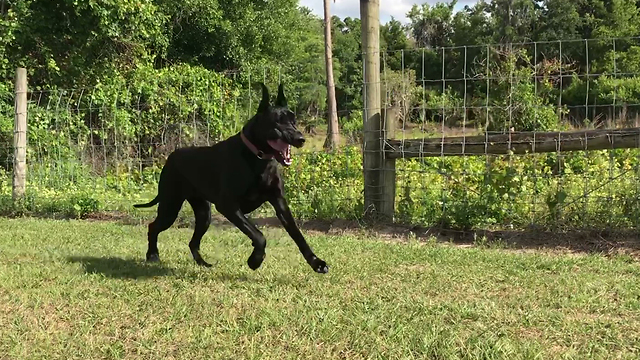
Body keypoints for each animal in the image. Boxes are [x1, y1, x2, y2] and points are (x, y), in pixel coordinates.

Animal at [132, 83, 328, 272]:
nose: (300, 138)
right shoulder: (228, 205)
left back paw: (202, 263)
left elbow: (297, 235)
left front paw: (316, 262)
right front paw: (255, 260)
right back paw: (153, 255)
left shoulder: (279, 202)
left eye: (293, 121)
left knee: (192, 241)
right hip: (170, 206)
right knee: (153, 227)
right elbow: (258, 235)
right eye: (277, 122)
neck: (257, 158)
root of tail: (171, 156)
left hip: (204, 214)